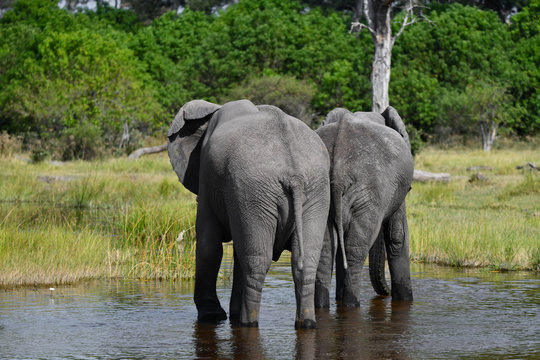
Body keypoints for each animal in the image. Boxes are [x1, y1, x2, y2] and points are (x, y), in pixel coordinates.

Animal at [168, 99, 330, 330]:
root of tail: (294, 173)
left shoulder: (209, 179)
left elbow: (209, 246)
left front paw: (211, 316)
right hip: (314, 189)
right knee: (305, 259)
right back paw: (306, 323)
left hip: (253, 189)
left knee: (256, 261)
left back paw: (247, 323)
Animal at [312, 105, 414, 308]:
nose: (385, 293)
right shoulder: (398, 188)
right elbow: (397, 237)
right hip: (368, 192)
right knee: (355, 250)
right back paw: (351, 305)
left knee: (326, 251)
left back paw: (322, 307)